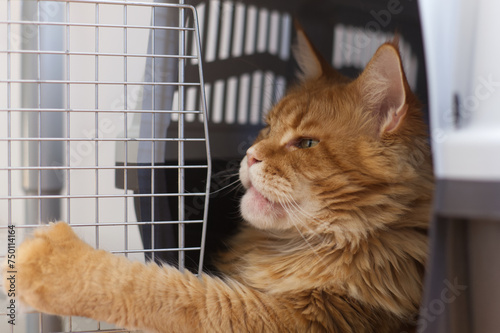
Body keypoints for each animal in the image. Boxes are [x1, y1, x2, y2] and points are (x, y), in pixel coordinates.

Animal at [2, 29, 434, 332]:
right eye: (267, 127)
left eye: (306, 143)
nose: (251, 155)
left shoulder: (301, 316)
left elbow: (168, 293)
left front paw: (50, 261)